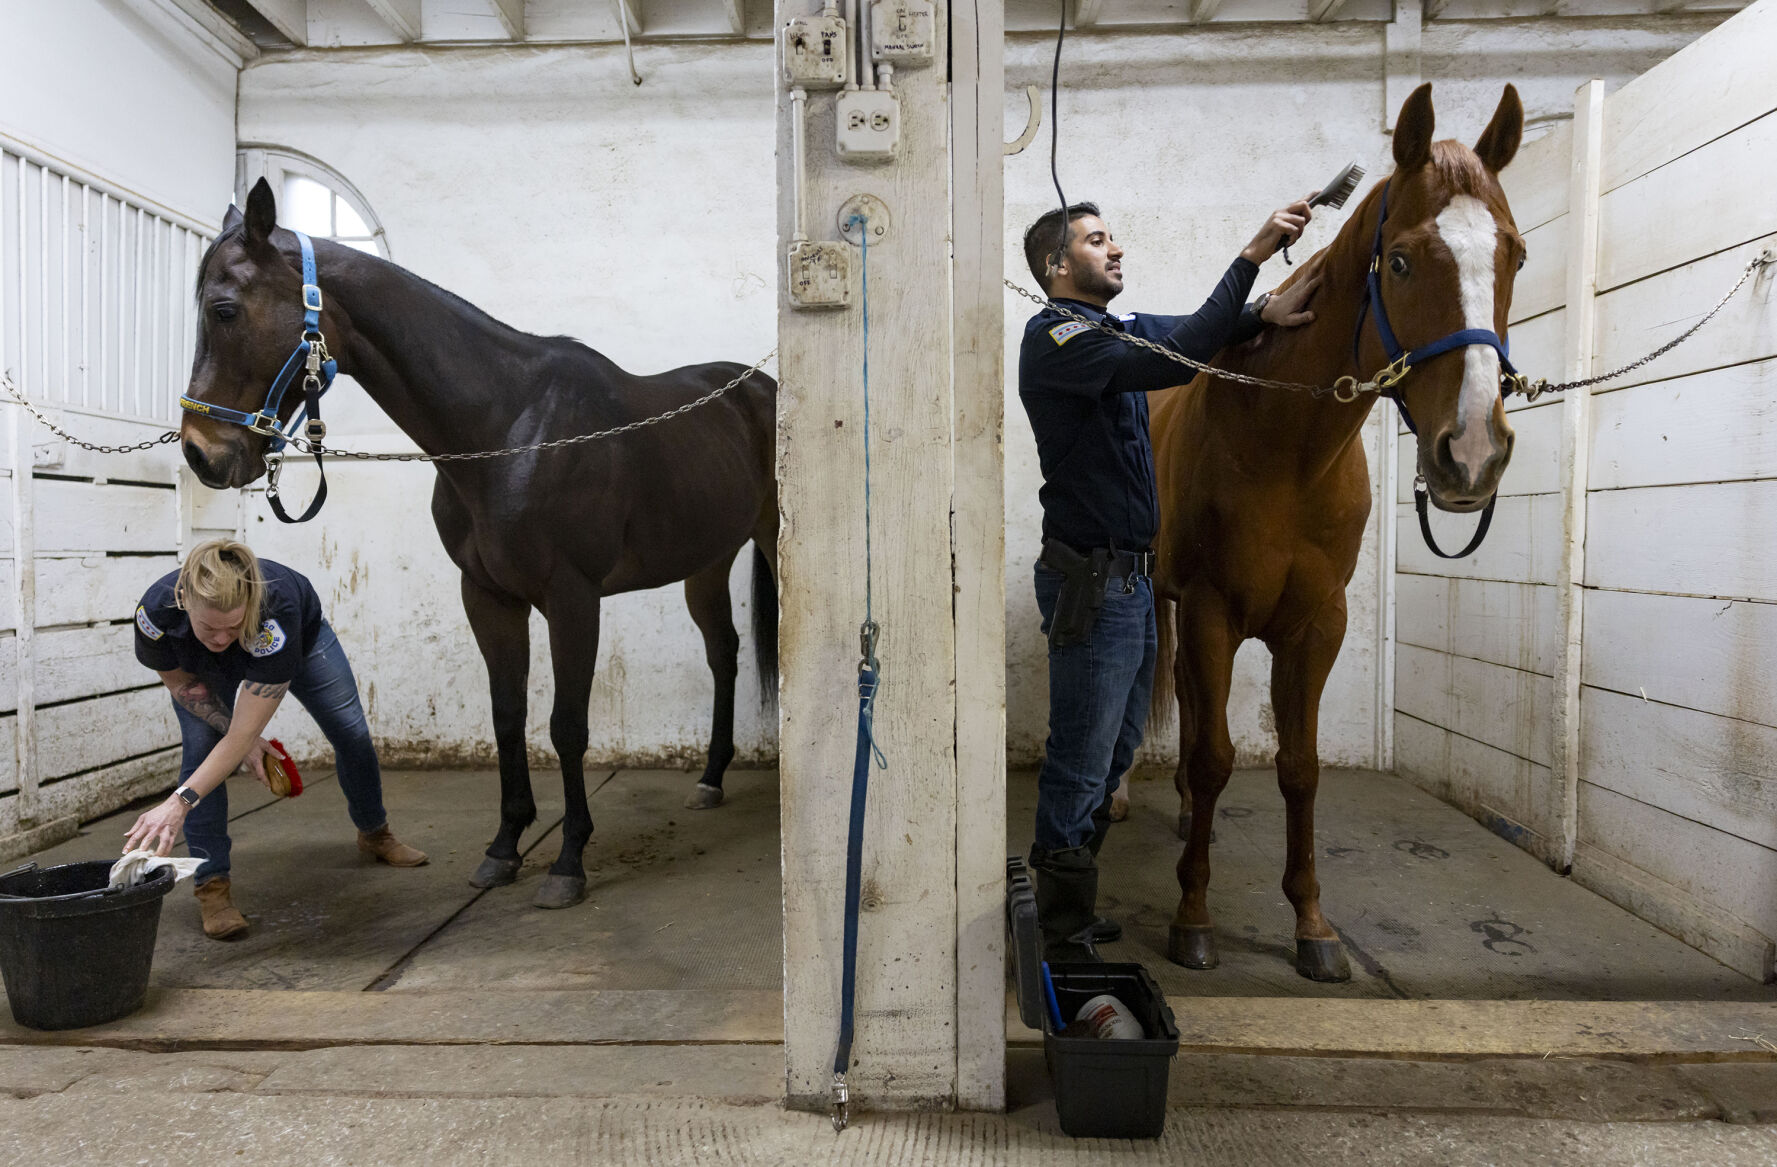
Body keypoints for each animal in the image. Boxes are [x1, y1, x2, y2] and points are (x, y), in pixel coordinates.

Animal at [180, 178, 778, 910]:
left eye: (225, 309)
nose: (201, 453)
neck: (509, 426)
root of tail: (758, 385)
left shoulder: (572, 597)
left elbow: (566, 724)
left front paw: (568, 861)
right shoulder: (487, 596)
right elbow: (506, 715)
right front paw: (504, 847)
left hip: (770, 538)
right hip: (708, 559)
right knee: (723, 652)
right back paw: (711, 779)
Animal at [1148, 83, 1524, 981]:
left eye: (1516, 256)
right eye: (1402, 261)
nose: (1472, 452)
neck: (1282, 444)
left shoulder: (1318, 622)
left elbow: (1300, 767)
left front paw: (1312, 924)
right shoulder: (1210, 609)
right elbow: (1215, 757)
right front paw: (1192, 914)